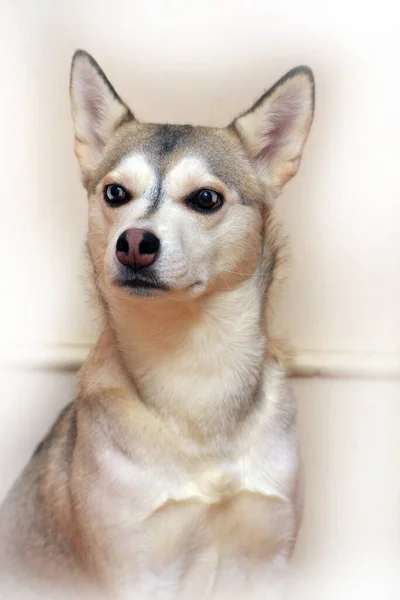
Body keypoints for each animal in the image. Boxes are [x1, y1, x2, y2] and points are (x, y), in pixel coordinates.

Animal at [0, 52, 314, 600]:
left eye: (206, 198)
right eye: (115, 192)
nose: (134, 242)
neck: (196, 372)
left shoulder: (268, 556)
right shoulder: (134, 567)